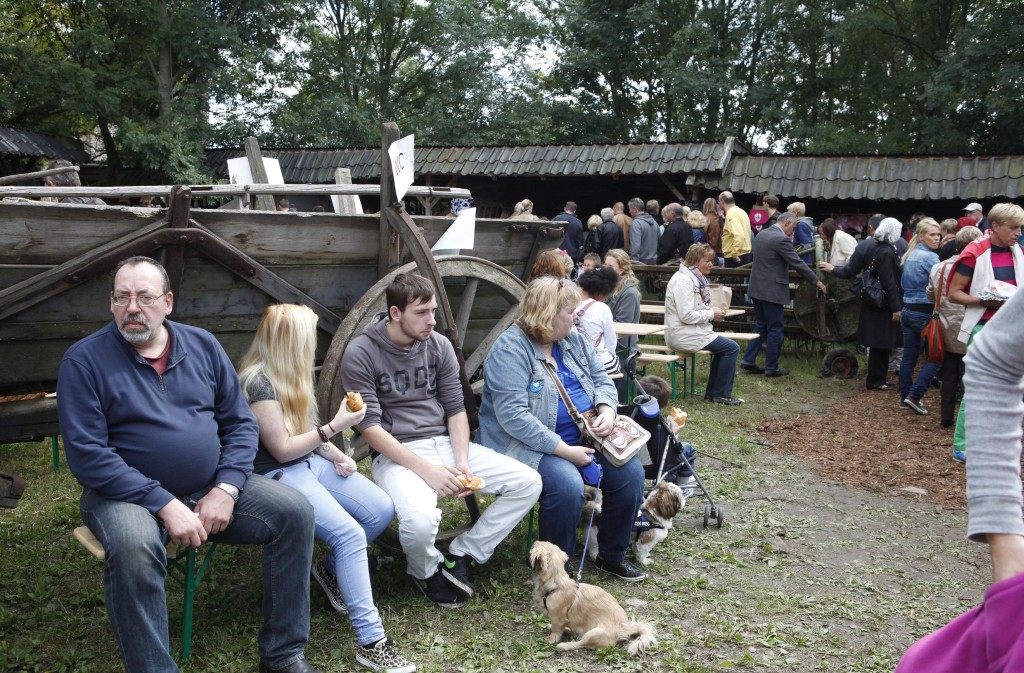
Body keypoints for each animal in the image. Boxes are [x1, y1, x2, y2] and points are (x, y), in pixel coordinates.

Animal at [528, 541, 657, 654]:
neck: (556, 584)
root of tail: (626, 632)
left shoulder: (557, 618)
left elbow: (556, 630)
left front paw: (551, 639)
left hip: (594, 633)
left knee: (582, 643)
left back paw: (565, 645)